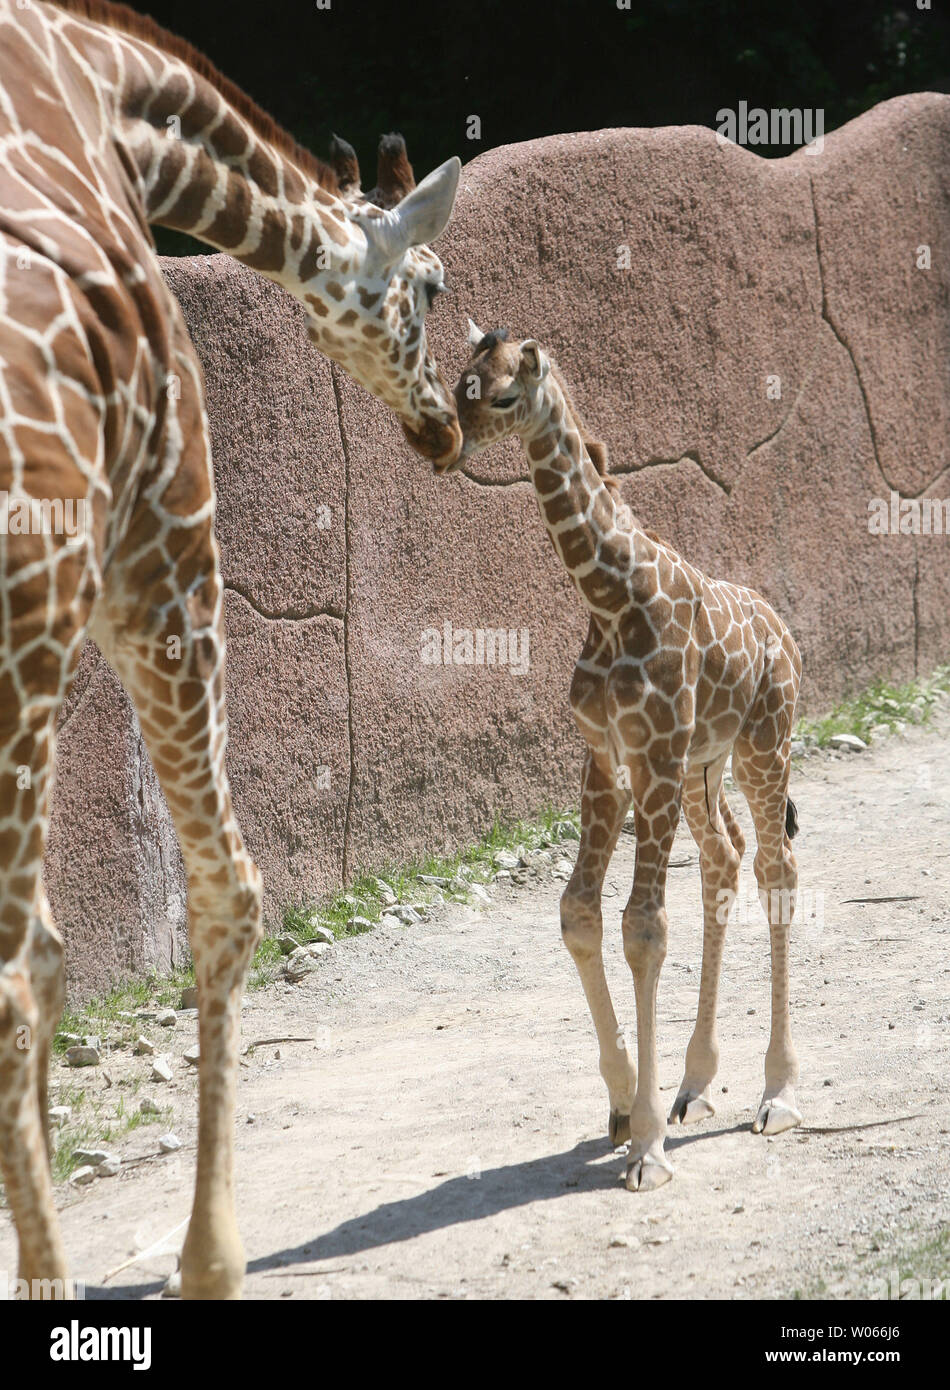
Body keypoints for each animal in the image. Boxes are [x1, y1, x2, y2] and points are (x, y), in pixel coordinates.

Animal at [0, 0, 461, 1301]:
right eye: (428, 286)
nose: (448, 426)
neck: (110, 91)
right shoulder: (162, 539)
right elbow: (226, 891)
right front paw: (207, 1255)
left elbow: (56, 947)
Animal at [450, 319, 806, 1189]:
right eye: (455, 384)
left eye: (502, 396)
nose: (450, 445)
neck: (608, 599)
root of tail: (783, 633)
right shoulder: (608, 761)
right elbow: (579, 912)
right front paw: (621, 1105)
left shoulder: (655, 753)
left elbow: (643, 926)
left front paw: (645, 1149)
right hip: (702, 768)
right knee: (726, 856)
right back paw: (694, 1083)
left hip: (762, 743)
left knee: (776, 868)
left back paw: (777, 1094)